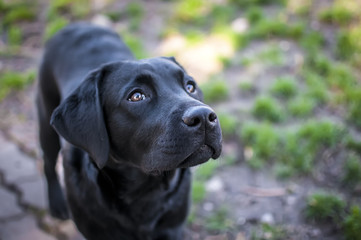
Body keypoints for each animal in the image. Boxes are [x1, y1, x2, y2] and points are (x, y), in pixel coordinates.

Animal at [37, 23, 222, 240]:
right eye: (136, 96)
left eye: (190, 86)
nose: (204, 116)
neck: (145, 192)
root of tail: (76, 25)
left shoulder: (172, 229)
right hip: (45, 120)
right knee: (48, 162)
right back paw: (57, 203)